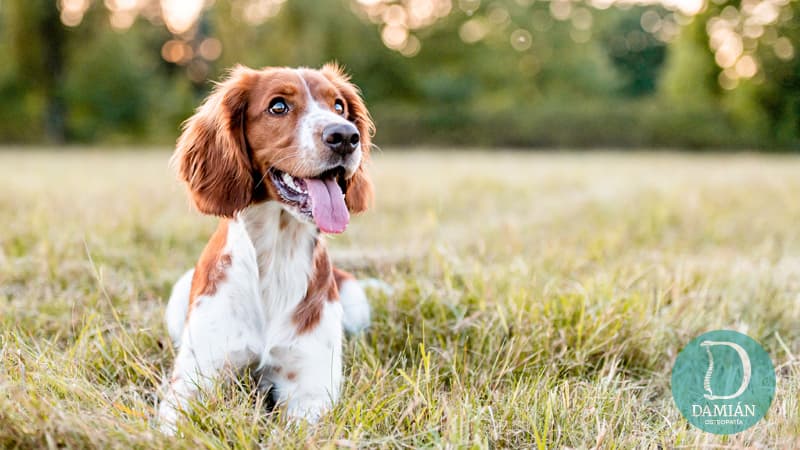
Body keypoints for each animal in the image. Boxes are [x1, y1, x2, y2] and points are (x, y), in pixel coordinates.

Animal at [160, 64, 378, 432]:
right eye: (278, 106)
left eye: (338, 106)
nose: (346, 137)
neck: (277, 255)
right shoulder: (191, 382)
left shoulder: (310, 390)